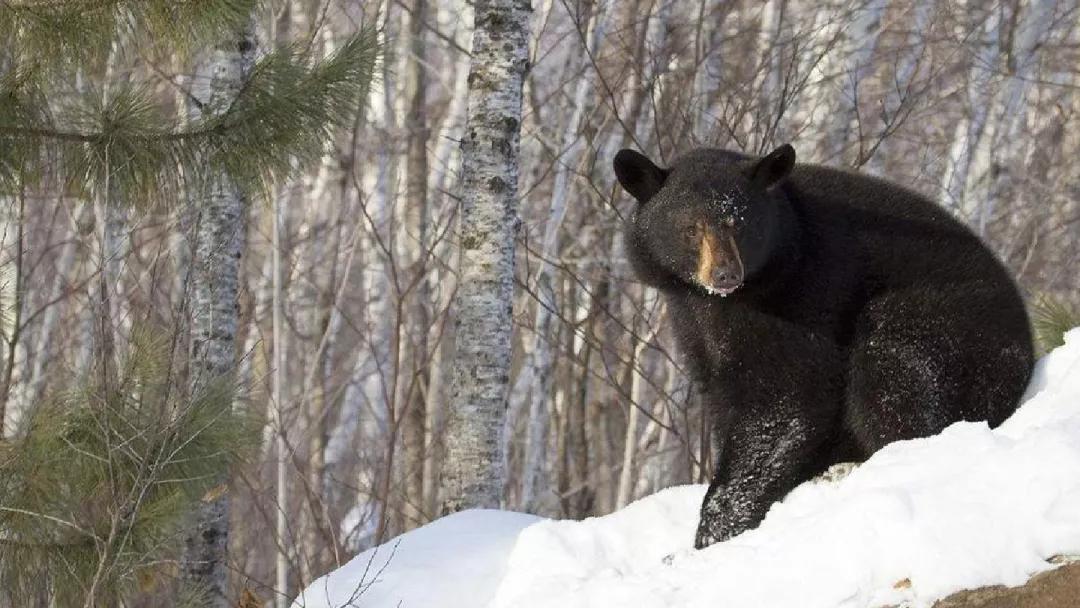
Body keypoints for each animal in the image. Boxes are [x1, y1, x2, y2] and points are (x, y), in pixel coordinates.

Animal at [613, 144, 1032, 548]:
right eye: (690, 229)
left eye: (740, 224)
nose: (725, 274)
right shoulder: (691, 321)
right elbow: (723, 391)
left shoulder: (803, 296)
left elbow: (786, 397)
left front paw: (718, 525)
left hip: (962, 334)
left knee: (895, 364)